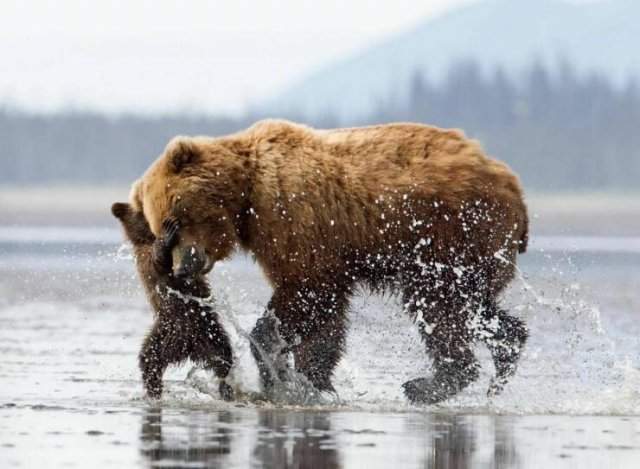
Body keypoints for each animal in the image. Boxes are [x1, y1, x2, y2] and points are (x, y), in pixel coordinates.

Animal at [111, 200, 234, 398]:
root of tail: (188, 347)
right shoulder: (147, 259)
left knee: (223, 356)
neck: (145, 238)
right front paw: (168, 233)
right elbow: (159, 260)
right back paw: (154, 391)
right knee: (149, 359)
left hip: (209, 331)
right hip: (166, 331)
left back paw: (225, 387)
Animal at [131, 119, 528, 402]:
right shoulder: (315, 252)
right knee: (473, 308)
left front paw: (281, 371)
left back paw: (427, 384)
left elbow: (305, 293)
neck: (245, 200)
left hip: (451, 234)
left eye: (173, 221)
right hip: (472, 253)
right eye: (158, 226)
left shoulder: (296, 220)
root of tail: (513, 186)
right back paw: (505, 356)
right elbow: (326, 320)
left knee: (438, 307)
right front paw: (312, 379)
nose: (183, 267)